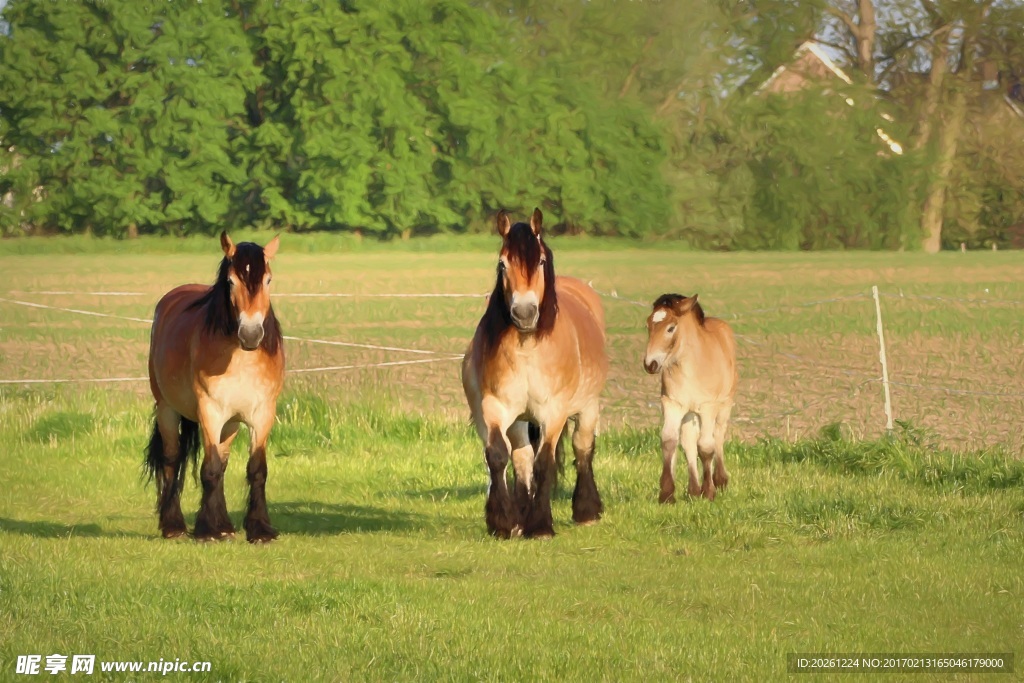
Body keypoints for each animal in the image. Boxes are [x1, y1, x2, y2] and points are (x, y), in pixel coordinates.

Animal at [143, 232, 284, 540]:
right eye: (231, 281)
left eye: (268, 280)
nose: (251, 334)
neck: (241, 359)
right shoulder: (210, 412)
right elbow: (209, 469)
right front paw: (207, 530)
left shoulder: (262, 415)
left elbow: (255, 469)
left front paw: (259, 529)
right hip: (168, 410)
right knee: (172, 459)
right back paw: (174, 526)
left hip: (229, 424)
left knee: (222, 460)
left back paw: (224, 525)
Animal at [462, 208, 606, 540]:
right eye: (503, 263)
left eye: (540, 261)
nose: (524, 313)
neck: (528, 347)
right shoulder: (495, 408)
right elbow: (498, 456)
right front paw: (504, 522)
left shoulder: (553, 412)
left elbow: (545, 463)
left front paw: (540, 525)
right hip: (518, 420)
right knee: (521, 458)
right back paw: (521, 517)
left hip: (587, 408)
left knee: (582, 448)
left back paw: (586, 511)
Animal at [638, 292, 737, 501]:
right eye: (648, 325)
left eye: (671, 328)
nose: (650, 364)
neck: (690, 368)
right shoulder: (672, 404)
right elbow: (669, 440)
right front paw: (666, 494)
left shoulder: (708, 407)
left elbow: (706, 447)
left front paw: (709, 492)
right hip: (690, 413)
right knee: (689, 441)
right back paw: (693, 490)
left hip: (724, 405)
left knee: (718, 435)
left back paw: (719, 480)